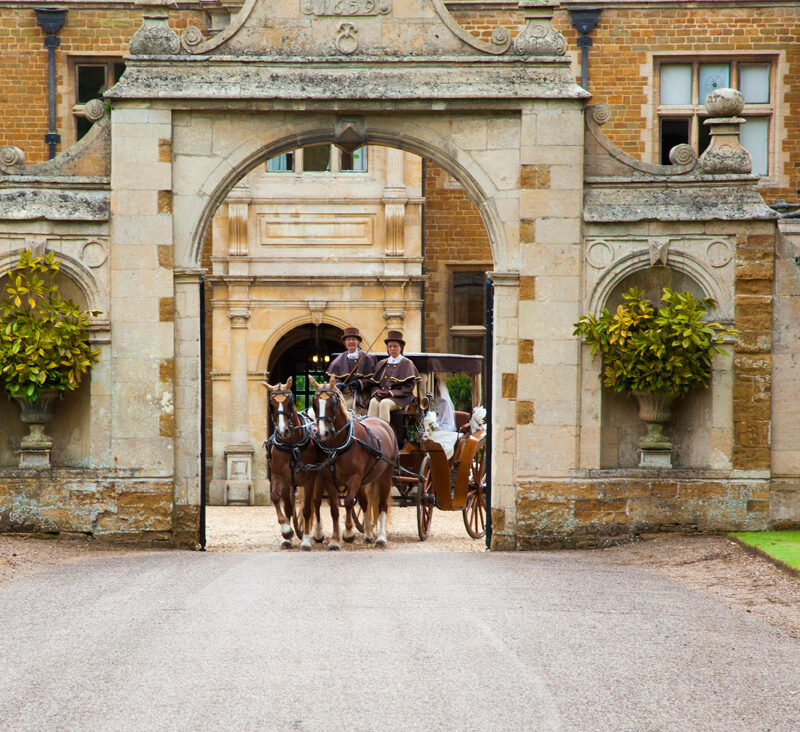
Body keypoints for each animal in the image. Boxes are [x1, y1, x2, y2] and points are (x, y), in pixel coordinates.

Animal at [260, 378, 340, 548]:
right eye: (271, 403)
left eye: (289, 402)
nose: (283, 431)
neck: (292, 445)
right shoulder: (279, 477)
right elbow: (280, 501)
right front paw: (286, 533)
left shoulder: (309, 479)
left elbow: (307, 509)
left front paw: (306, 540)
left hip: (320, 478)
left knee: (316, 503)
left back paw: (316, 533)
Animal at [306, 374, 396, 548]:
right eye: (314, 403)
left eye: (333, 402)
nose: (322, 434)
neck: (339, 445)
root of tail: (383, 422)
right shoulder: (328, 478)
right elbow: (334, 508)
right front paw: (335, 540)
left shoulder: (355, 477)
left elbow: (348, 502)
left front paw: (348, 532)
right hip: (365, 480)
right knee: (365, 503)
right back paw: (368, 534)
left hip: (385, 476)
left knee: (382, 505)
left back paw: (381, 538)